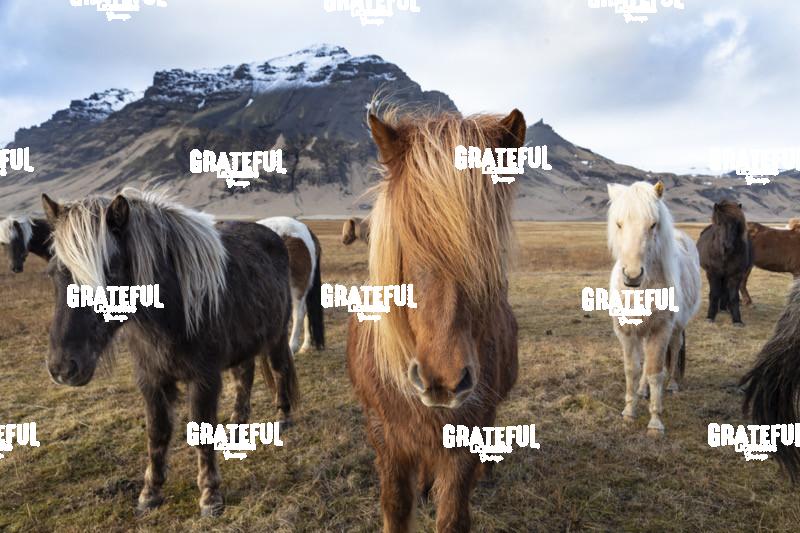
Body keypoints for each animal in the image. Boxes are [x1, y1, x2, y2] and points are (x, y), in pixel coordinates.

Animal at [41, 189, 298, 517]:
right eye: (53, 273)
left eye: (110, 272)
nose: (63, 368)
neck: (172, 314)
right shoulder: (151, 379)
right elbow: (157, 433)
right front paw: (150, 492)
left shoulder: (204, 379)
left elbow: (201, 433)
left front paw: (210, 496)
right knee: (244, 377)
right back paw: (237, 426)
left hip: (276, 338)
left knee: (279, 370)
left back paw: (283, 417)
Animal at [347, 108, 522, 532]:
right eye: (406, 238)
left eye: (487, 248)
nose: (444, 377)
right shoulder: (385, 437)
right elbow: (396, 507)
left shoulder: (465, 440)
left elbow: (453, 515)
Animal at [606, 181, 701, 437]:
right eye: (619, 224)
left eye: (652, 224)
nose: (632, 276)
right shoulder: (627, 332)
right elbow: (633, 369)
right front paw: (629, 412)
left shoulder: (660, 330)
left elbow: (656, 372)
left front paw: (655, 423)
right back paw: (641, 391)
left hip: (675, 328)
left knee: (674, 350)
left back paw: (673, 385)